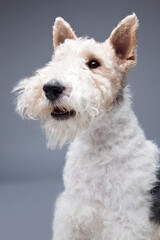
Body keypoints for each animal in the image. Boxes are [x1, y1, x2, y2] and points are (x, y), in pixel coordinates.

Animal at [13, 13, 160, 240]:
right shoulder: (72, 215)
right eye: (58, 60)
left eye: (94, 63)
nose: (51, 88)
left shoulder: (126, 223)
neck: (96, 146)